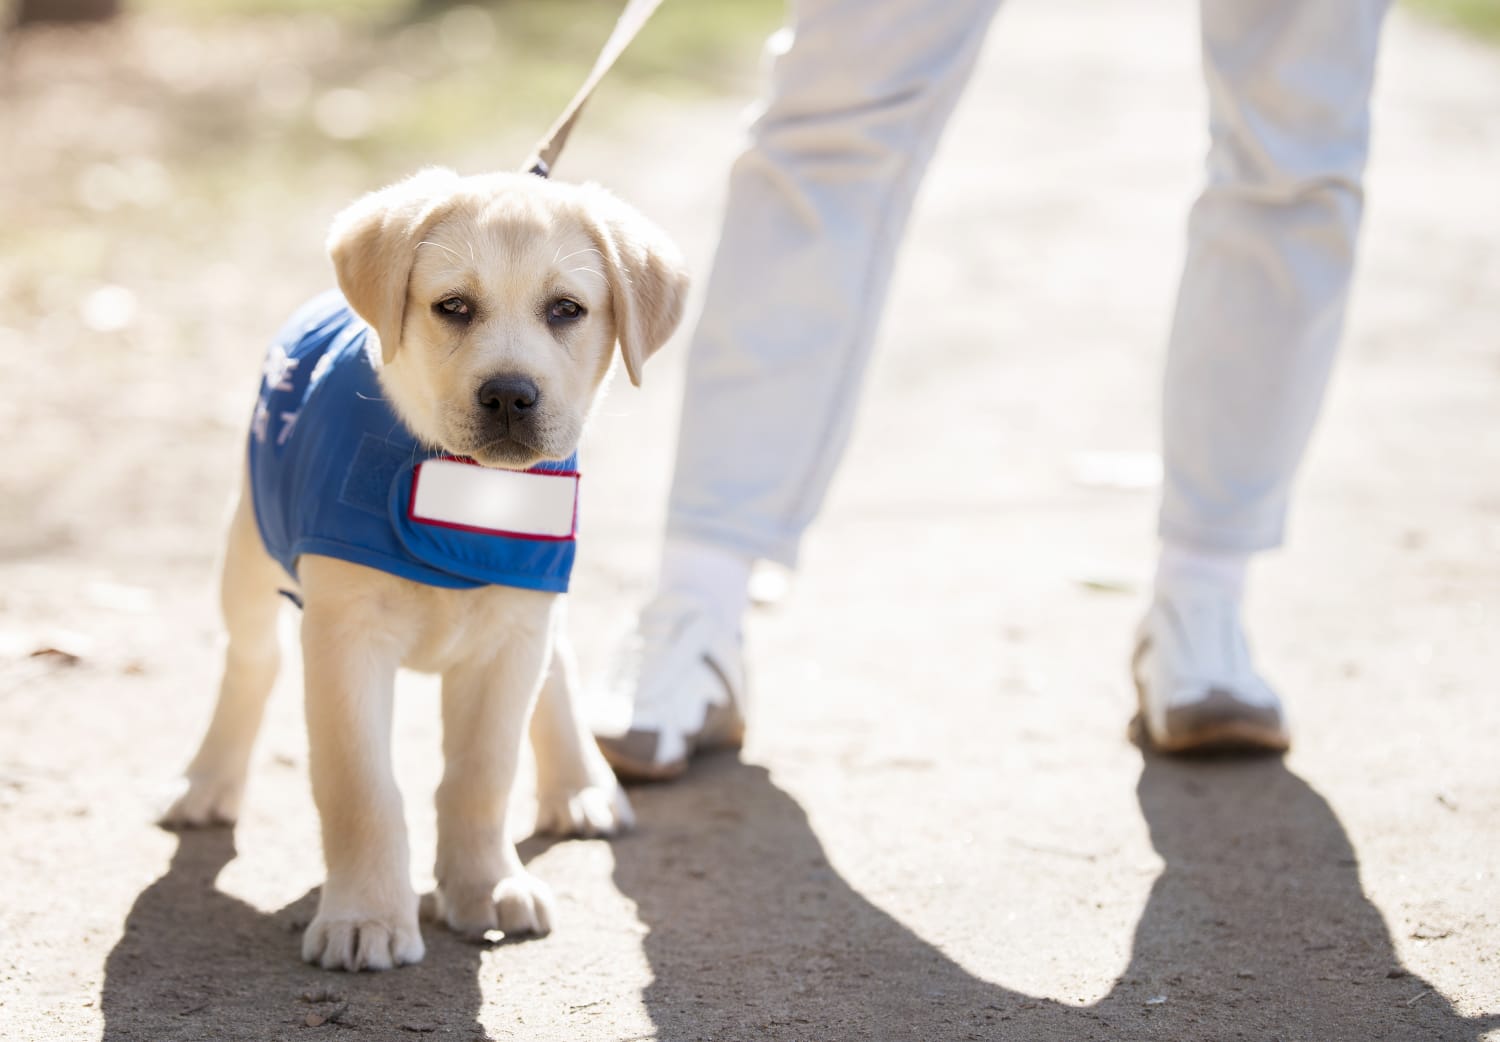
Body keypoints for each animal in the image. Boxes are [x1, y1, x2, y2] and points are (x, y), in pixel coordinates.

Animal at [161, 167, 687, 971]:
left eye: (566, 310)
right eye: (453, 307)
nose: (509, 394)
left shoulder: (512, 629)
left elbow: (480, 778)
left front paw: (486, 886)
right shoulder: (345, 640)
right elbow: (362, 789)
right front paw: (366, 916)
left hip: (536, 597)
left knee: (557, 667)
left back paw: (579, 787)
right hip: (248, 548)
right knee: (251, 660)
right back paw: (207, 783)